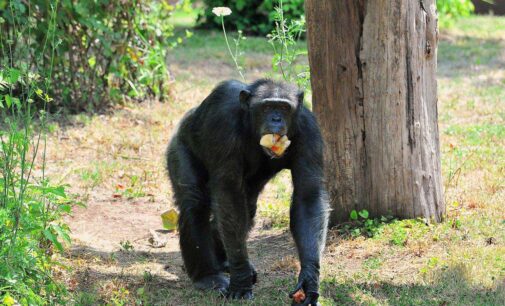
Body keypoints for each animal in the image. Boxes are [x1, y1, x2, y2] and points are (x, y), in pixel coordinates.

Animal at [166, 79, 326, 306]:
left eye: (284, 108)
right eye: (267, 107)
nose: (276, 119)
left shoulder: (310, 131)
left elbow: (308, 196)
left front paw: (309, 279)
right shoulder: (223, 124)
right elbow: (228, 192)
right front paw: (241, 279)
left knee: (245, 209)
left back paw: (223, 261)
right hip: (178, 146)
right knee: (195, 203)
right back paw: (208, 276)